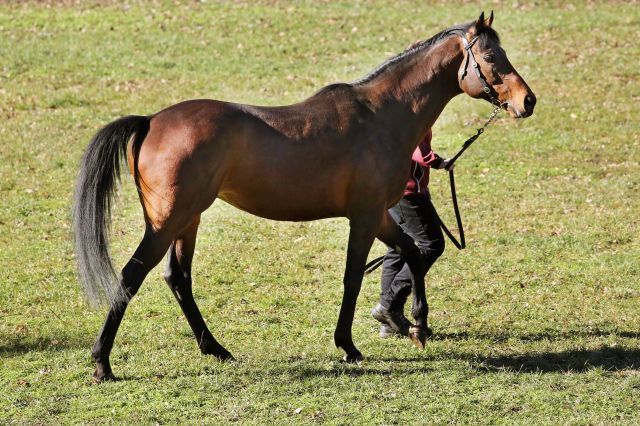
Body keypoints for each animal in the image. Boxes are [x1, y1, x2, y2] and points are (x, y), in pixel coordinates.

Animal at [74, 12, 536, 382]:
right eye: (491, 59)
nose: (526, 101)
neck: (384, 115)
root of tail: (151, 121)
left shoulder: (379, 215)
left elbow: (411, 253)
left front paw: (418, 326)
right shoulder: (364, 217)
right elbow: (354, 277)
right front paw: (348, 345)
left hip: (188, 220)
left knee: (178, 278)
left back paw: (216, 349)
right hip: (168, 221)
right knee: (131, 276)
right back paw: (102, 363)